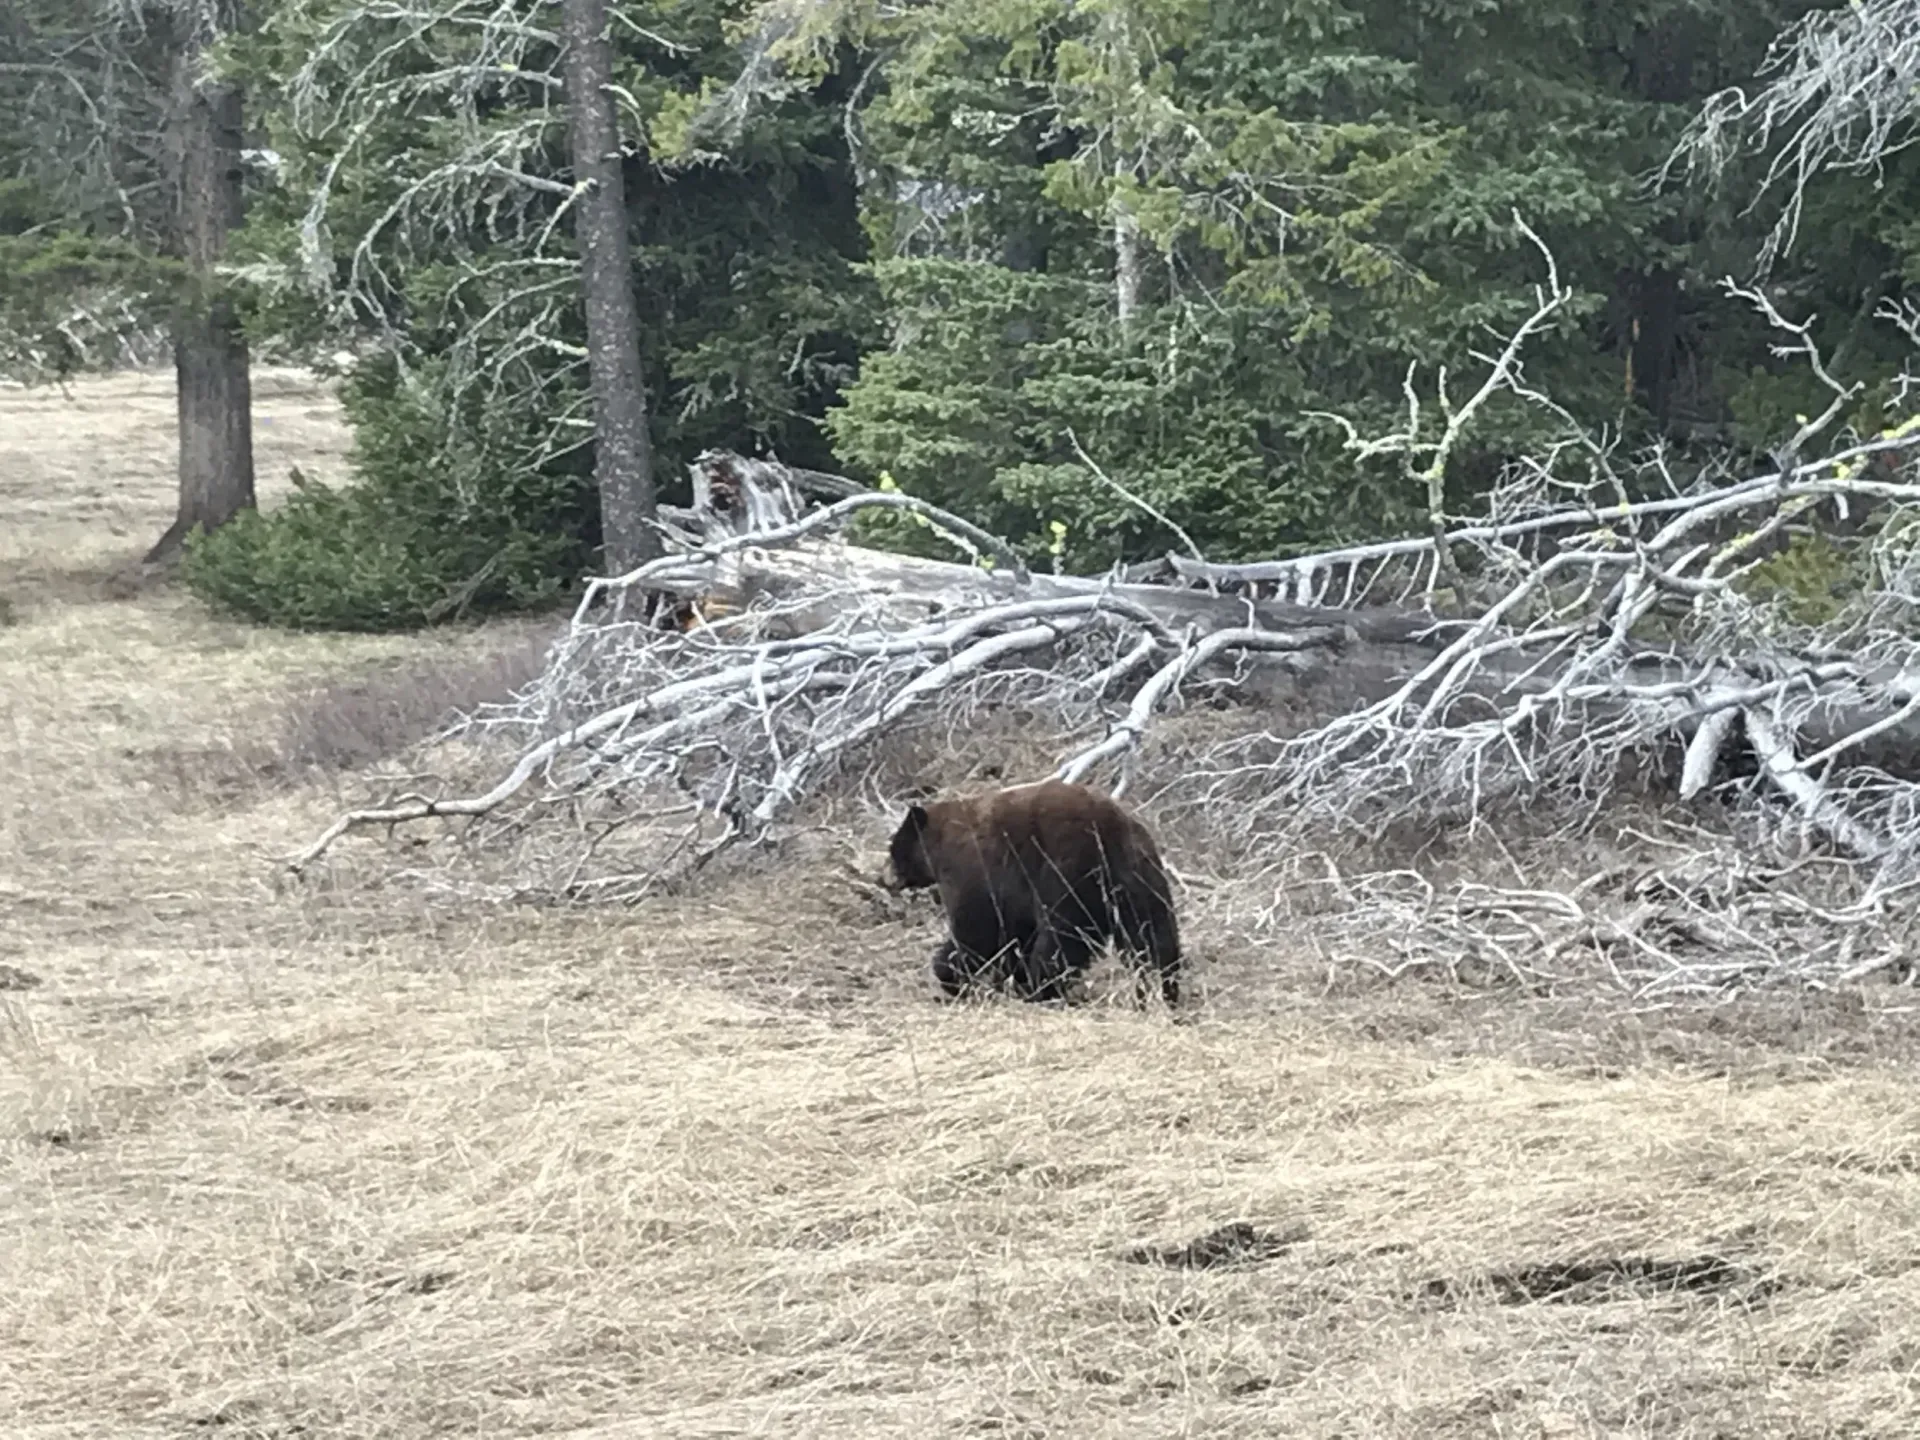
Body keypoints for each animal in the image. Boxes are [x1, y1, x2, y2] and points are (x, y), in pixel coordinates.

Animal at [882, 779, 1183, 1009]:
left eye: (893, 848)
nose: (883, 878)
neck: (939, 843)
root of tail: (1112, 827)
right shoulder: (1015, 894)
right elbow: (1015, 933)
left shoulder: (976, 871)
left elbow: (977, 928)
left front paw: (950, 974)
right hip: (1140, 877)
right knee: (1152, 934)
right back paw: (1164, 986)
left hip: (1068, 871)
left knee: (1063, 935)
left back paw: (1040, 985)